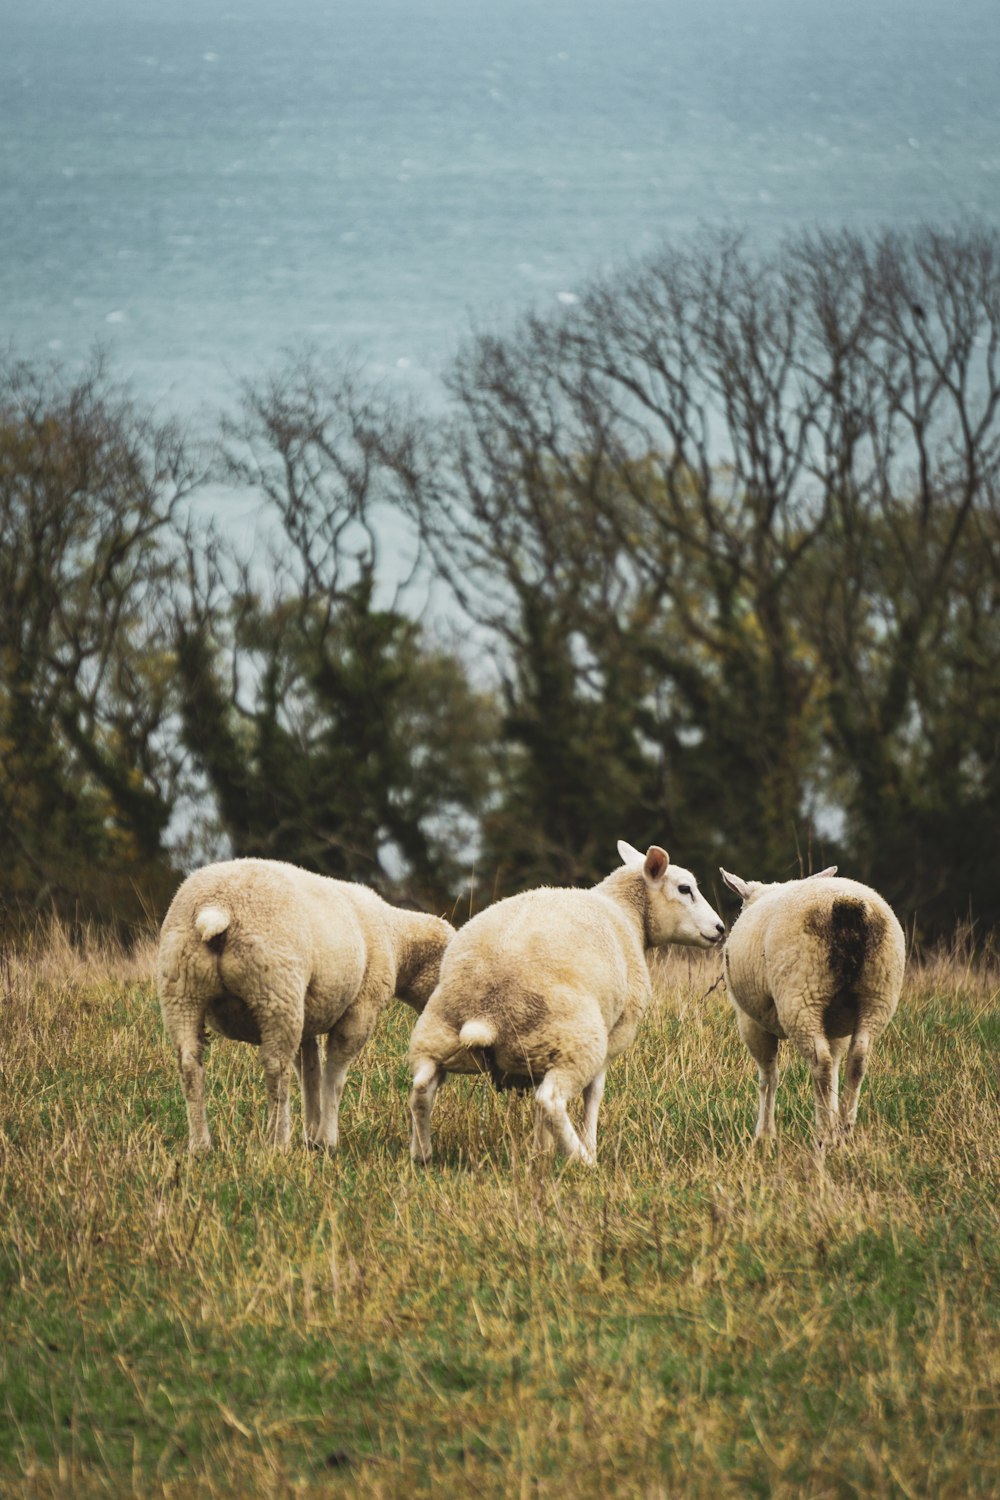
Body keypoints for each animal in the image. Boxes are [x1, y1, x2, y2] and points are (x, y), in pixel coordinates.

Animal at [156, 858, 452, 1158]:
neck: (394, 939)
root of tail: (217, 905)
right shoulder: (360, 1010)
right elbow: (333, 1075)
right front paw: (326, 1139)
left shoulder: (308, 1017)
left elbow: (309, 1072)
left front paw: (311, 1133)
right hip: (277, 990)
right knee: (275, 1067)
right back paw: (277, 1141)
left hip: (180, 990)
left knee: (189, 1063)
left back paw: (200, 1145)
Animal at [407, 840, 728, 1164]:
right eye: (685, 888)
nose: (720, 928)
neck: (627, 913)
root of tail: (486, 1013)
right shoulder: (614, 1037)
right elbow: (594, 1094)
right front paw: (589, 1147)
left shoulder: (538, 1056)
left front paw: (541, 1151)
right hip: (576, 1040)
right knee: (550, 1100)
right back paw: (582, 1159)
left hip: (441, 1034)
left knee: (422, 1087)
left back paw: (422, 1154)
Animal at [719, 870, 905, 1146]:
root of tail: (846, 905)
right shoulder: (836, 1028)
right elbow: (837, 1067)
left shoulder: (750, 1022)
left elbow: (768, 1076)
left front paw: (764, 1135)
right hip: (878, 991)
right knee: (858, 1058)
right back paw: (844, 1130)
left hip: (801, 993)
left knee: (822, 1063)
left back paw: (825, 1134)